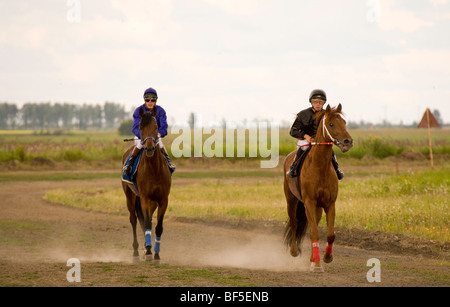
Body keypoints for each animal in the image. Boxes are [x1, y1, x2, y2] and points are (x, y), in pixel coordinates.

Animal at [121, 107, 172, 262]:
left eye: (156, 127)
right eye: (141, 127)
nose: (149, 148)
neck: (154, 170)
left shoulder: (163, 199)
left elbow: (158, 226)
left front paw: (156, 252)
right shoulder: (144, 197)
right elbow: (147, 223)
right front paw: (149, 250)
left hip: (152, 202)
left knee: (144, 220)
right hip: (130, 196)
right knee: (134, 220)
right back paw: (137, 251)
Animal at [284, 104, 354, 274]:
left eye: (344, 122)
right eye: (331, 124)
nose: (348, 141)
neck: (320, 167)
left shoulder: (329, 203)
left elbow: (330, 234)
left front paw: (326, 257)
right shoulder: (309, 201)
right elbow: (314, 232)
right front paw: (316, 265)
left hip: (317, 207)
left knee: (311, 224)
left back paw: (312, 258)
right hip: (291, 200)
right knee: (295, 222)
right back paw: (294, 251)